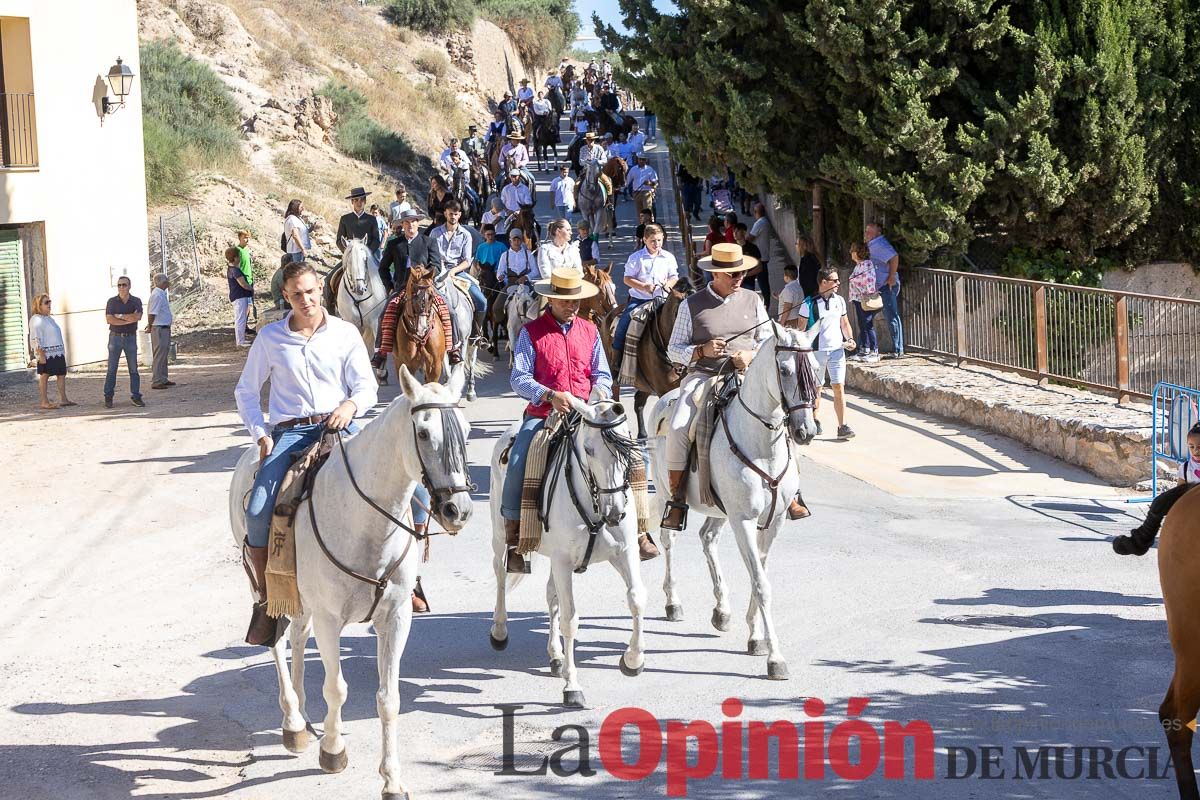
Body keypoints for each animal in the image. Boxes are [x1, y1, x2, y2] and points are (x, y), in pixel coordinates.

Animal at [225, 367, 472, 796]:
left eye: (468, 430)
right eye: (424, 433)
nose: (458, 509)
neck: (365, 521)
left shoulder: (395, 618)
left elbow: (389, 698)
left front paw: (392, 780)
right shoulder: (329, 619)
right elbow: (336, 687)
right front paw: (333, 750)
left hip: (301, 598)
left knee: (297, 637)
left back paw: (304, 719)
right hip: (267, 590)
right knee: (276, 641)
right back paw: (293, 722)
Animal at [489, 393, 648, 705]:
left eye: (627, 445)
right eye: (588, 449)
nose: (615, 513)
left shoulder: (624, 552)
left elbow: (636, 599)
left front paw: (633, 660)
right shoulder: (563, 562)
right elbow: (570, 619)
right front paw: (572, 687)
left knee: (551, 596)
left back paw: (556, 656)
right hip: (500, 536)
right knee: (501, 576)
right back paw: (500, 631)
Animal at [652, 326, 820, 681]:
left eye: (814, 367)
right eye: (784, 370)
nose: (806, 431)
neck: (761, 445)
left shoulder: (773, 520)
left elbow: (760, 574)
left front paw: (755, 638)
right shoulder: (743, 519)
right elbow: (761, 583)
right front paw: (775, 658)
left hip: (718, 510)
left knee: (707, 538)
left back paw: (722, 610)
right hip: (664, 496)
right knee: (668, 540)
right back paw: (673, 603)